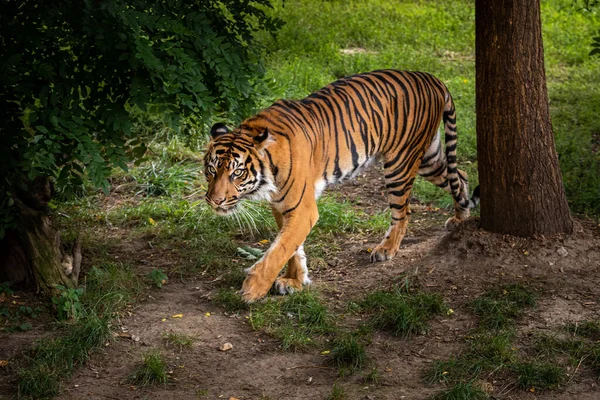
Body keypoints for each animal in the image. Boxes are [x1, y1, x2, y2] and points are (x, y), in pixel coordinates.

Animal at [204, 69, 480, 300]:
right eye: (211, 169)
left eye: (237, 172)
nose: (214, 201)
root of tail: (431, 77)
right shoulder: (283, 207)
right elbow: (292, 248)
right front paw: (296, 280)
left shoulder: (302, 209)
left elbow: (279, 249)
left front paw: (253, 289)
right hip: (428, 158)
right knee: (461, 175)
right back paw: (461, 218)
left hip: (401, 162)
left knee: (403, 211)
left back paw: (386, 249)